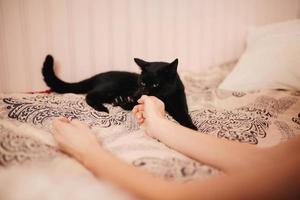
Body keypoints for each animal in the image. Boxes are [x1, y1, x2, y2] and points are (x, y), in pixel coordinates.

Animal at [42, 54, 197, 130]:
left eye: (155, 84)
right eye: (142, 83)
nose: (144, 92)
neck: (165, 99)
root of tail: (97, 76)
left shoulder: (180, 102)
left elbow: (183, 114)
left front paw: (191, 127)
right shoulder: (135, 95)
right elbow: (132, 103)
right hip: (110, 87)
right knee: (89, 95)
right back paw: (103, 108)